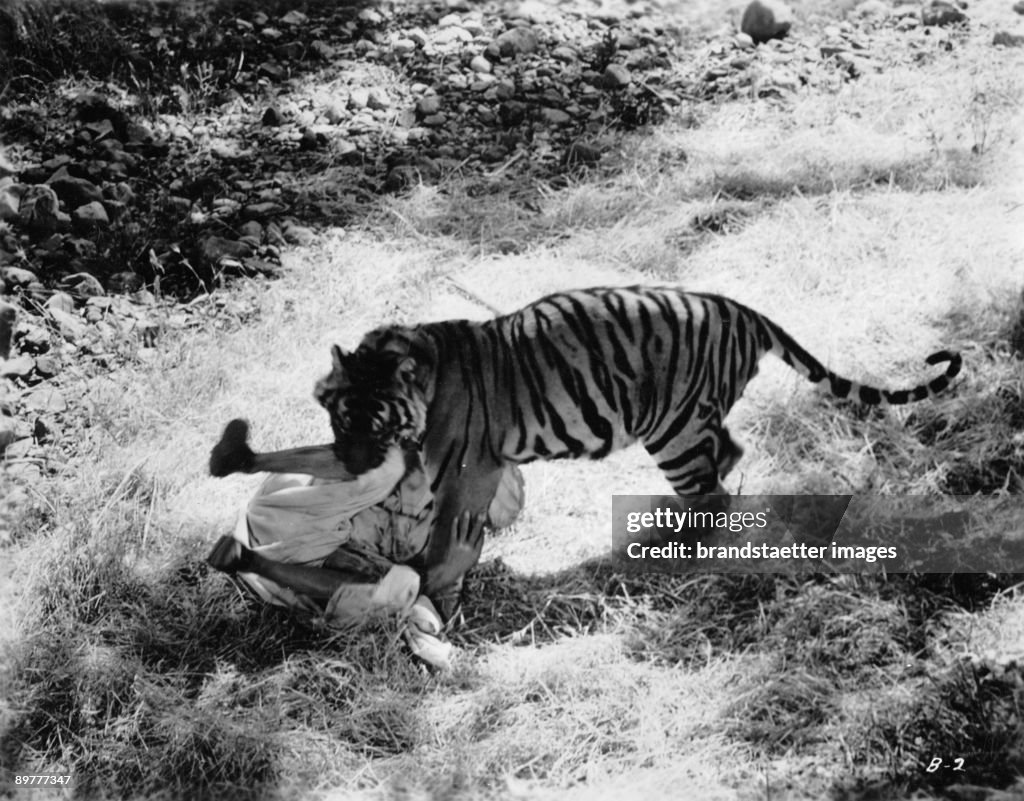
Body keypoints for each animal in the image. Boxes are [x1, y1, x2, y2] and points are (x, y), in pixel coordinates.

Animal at [311, 284, 958, 606]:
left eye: (376, 425)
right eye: (342, 420)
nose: (350, 467)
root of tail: (744, 313)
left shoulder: (468, 468)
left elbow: (446, 534)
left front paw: (432, 581)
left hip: (672, 428)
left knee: (713, 494)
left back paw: (671, 545)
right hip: (691, 421)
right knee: (729, 456)